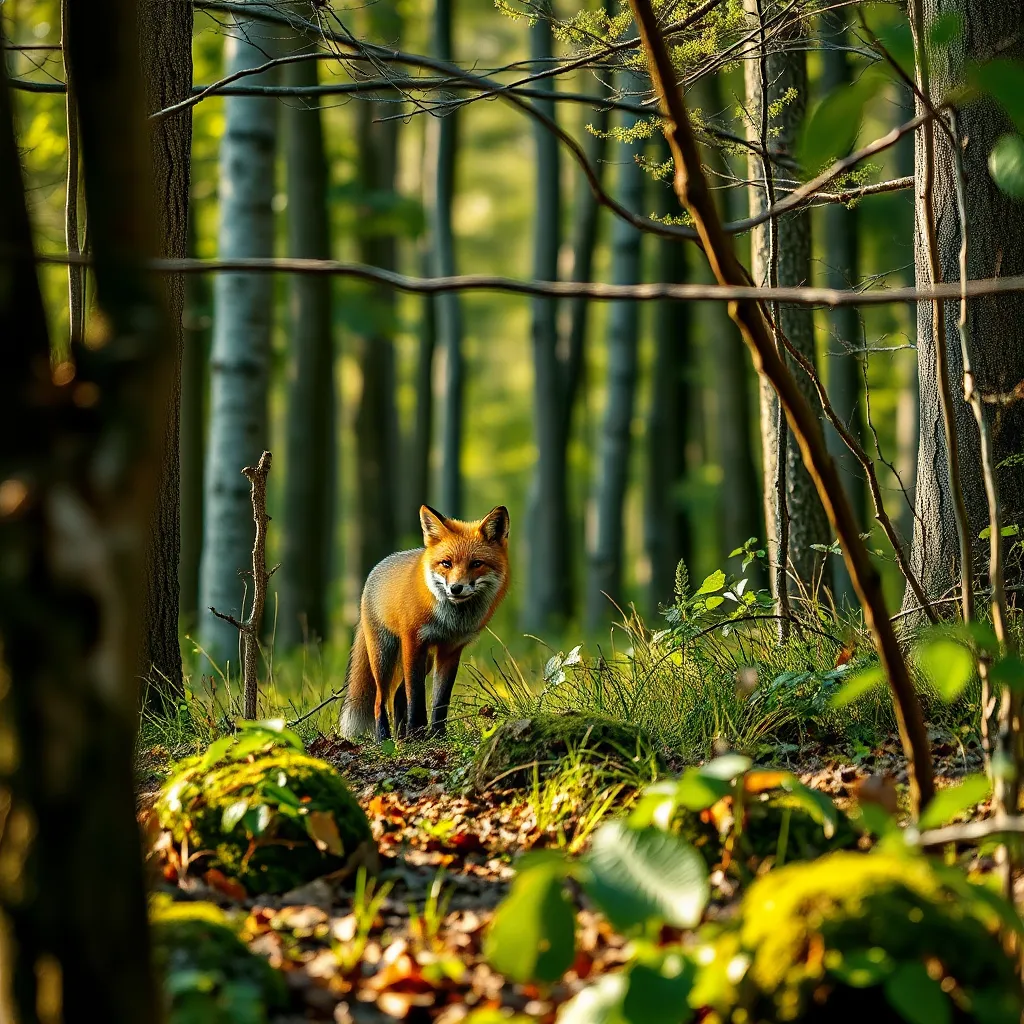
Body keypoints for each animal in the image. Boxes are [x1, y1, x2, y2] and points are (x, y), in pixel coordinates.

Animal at [339, 504, 510, 741]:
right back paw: (385, 737)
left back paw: (402, 736)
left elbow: (441, 699)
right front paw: (418, 731)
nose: (456, 588)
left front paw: (437, 734)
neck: (449, 621)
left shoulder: (450, 650)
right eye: (446, 563)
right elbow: (417, 695)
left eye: (477, 564)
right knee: (380, 699)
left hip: (426, 661)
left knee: (398, 695)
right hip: (383, 655)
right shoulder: (413, 642)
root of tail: (379, 565)